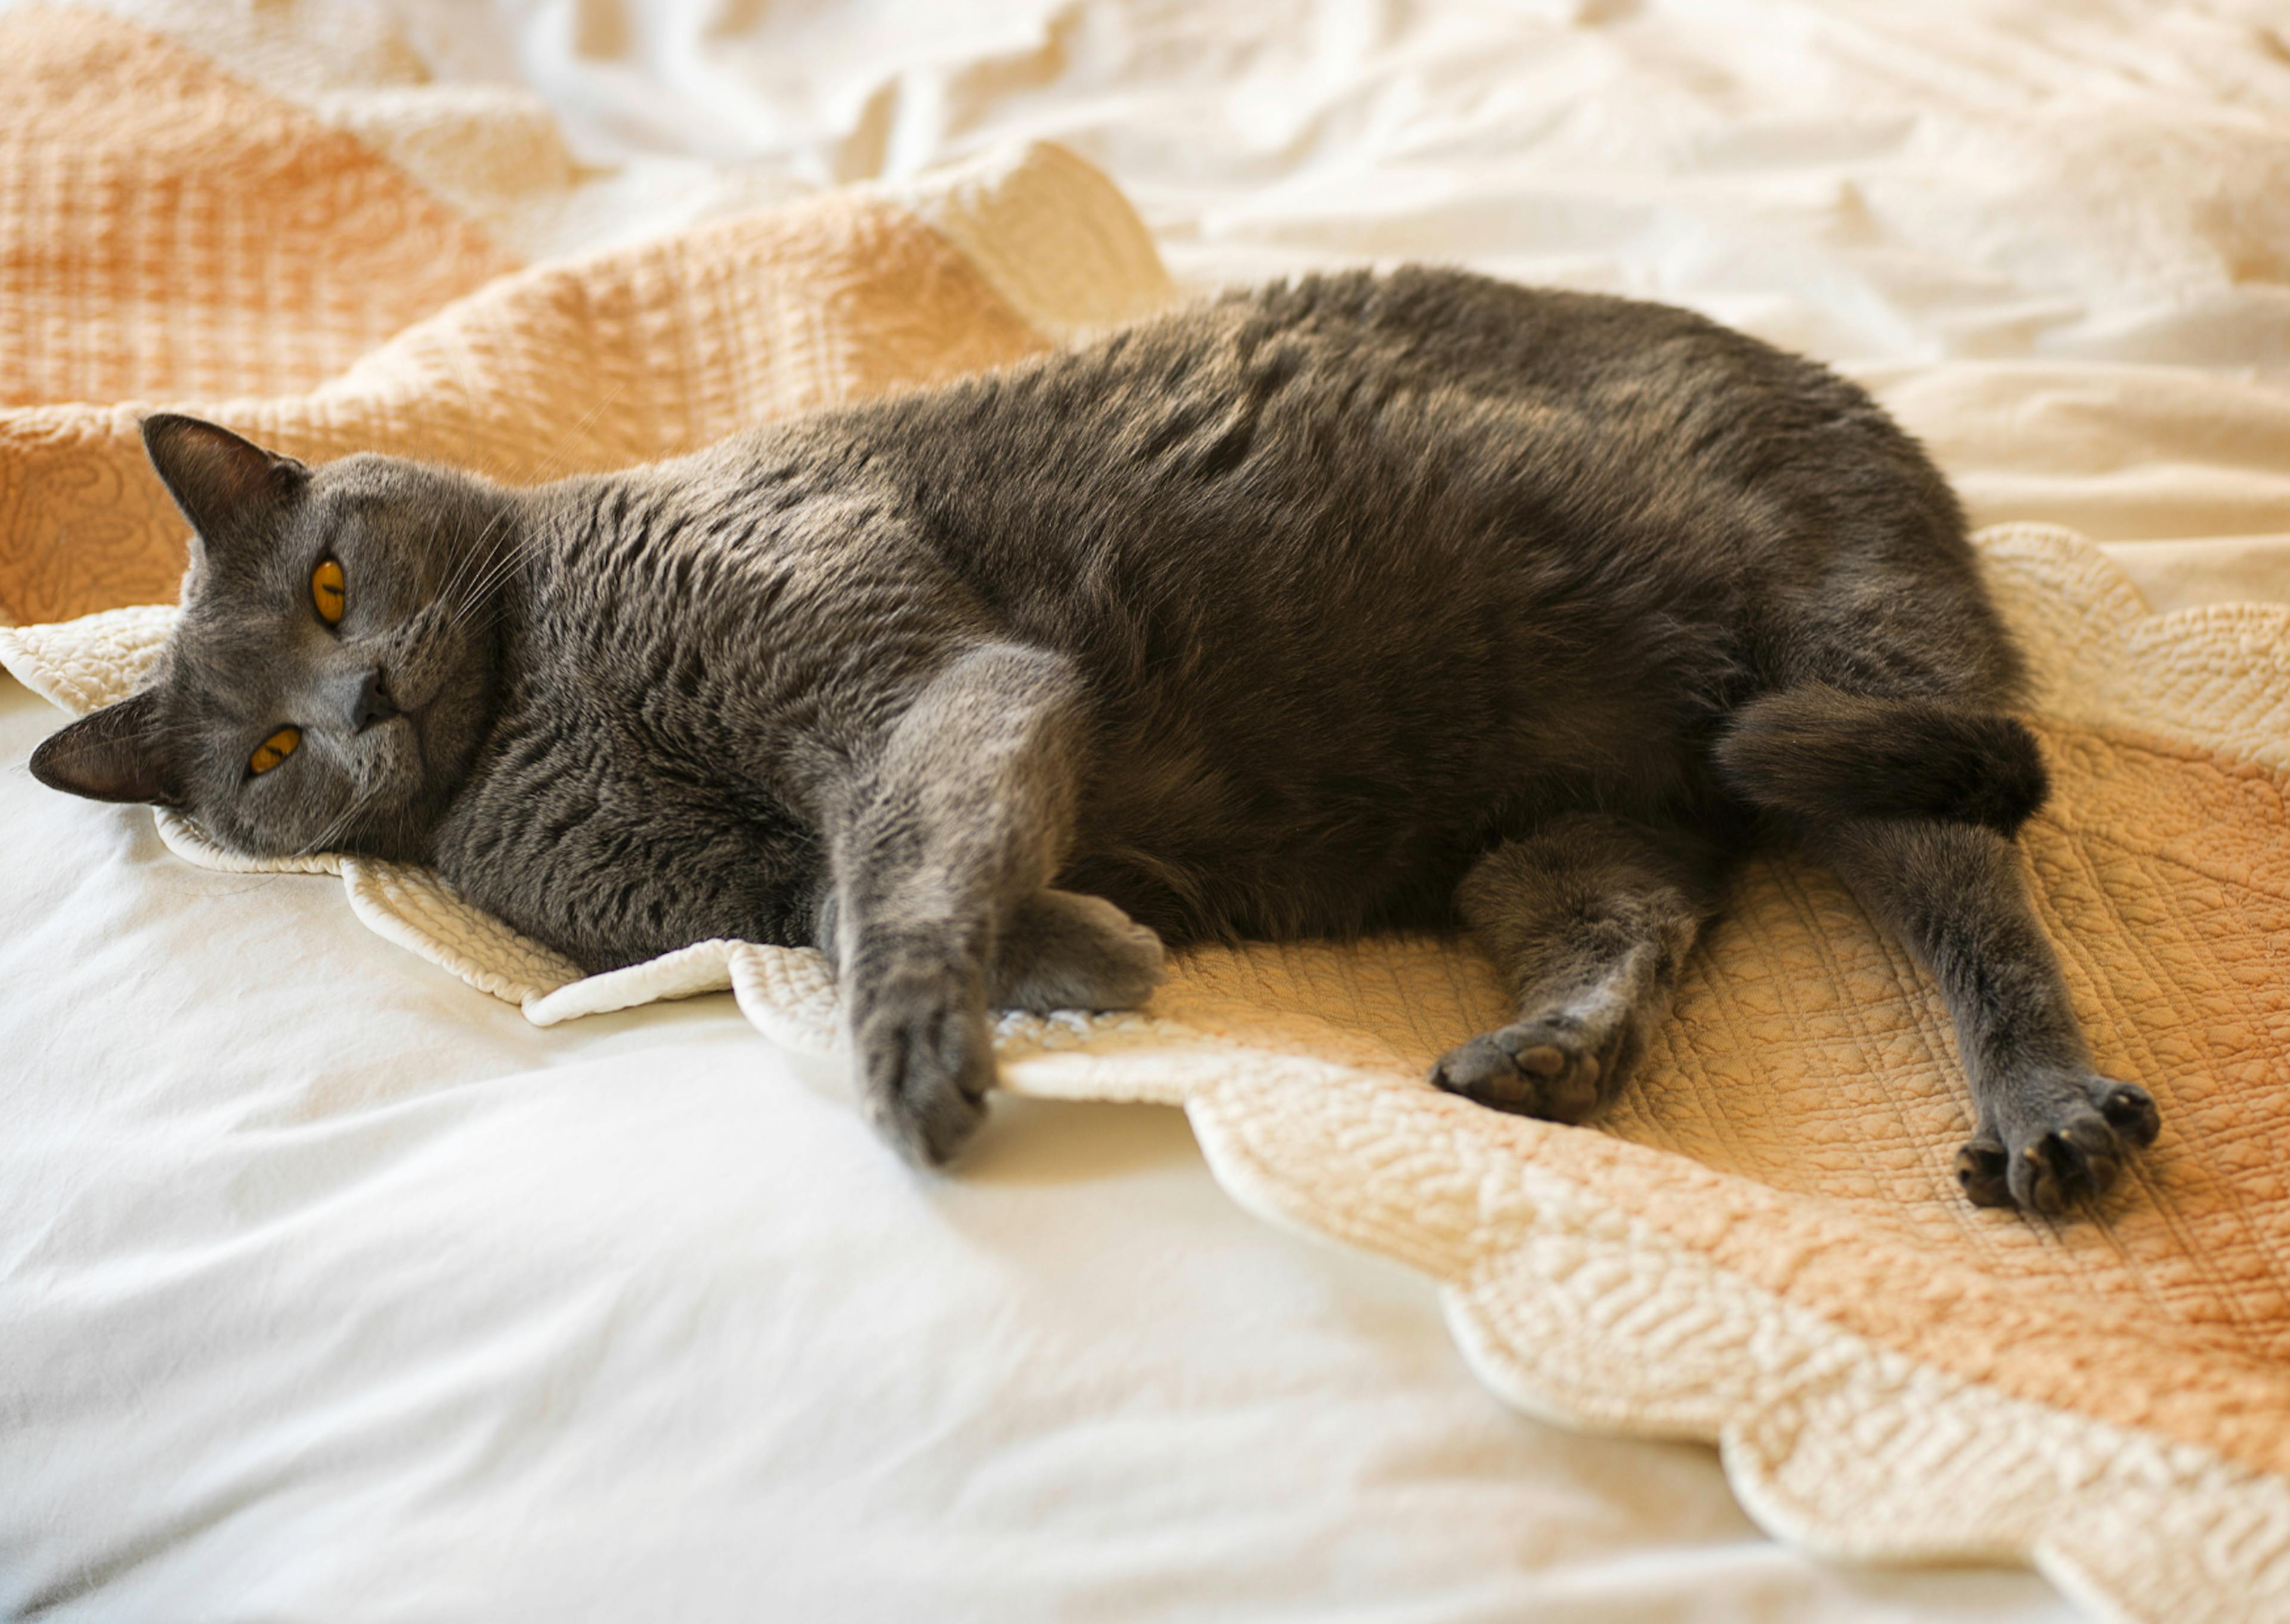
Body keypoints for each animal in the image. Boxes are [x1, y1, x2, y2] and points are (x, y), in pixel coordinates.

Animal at [31, 265, 2161, 1209]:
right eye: (260, 765)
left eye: (327, 587)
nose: (359, 706)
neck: (541, 708)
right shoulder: (711, 879)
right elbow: (845, 891)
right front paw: (1088, 948)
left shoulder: (905, 680)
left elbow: (899, 865)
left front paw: (933, 1050)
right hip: (1554, 830)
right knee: (1636, 907)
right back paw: (1547, 1055)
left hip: (1856, 631)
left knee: (1978, 905)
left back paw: (2047, 1114)